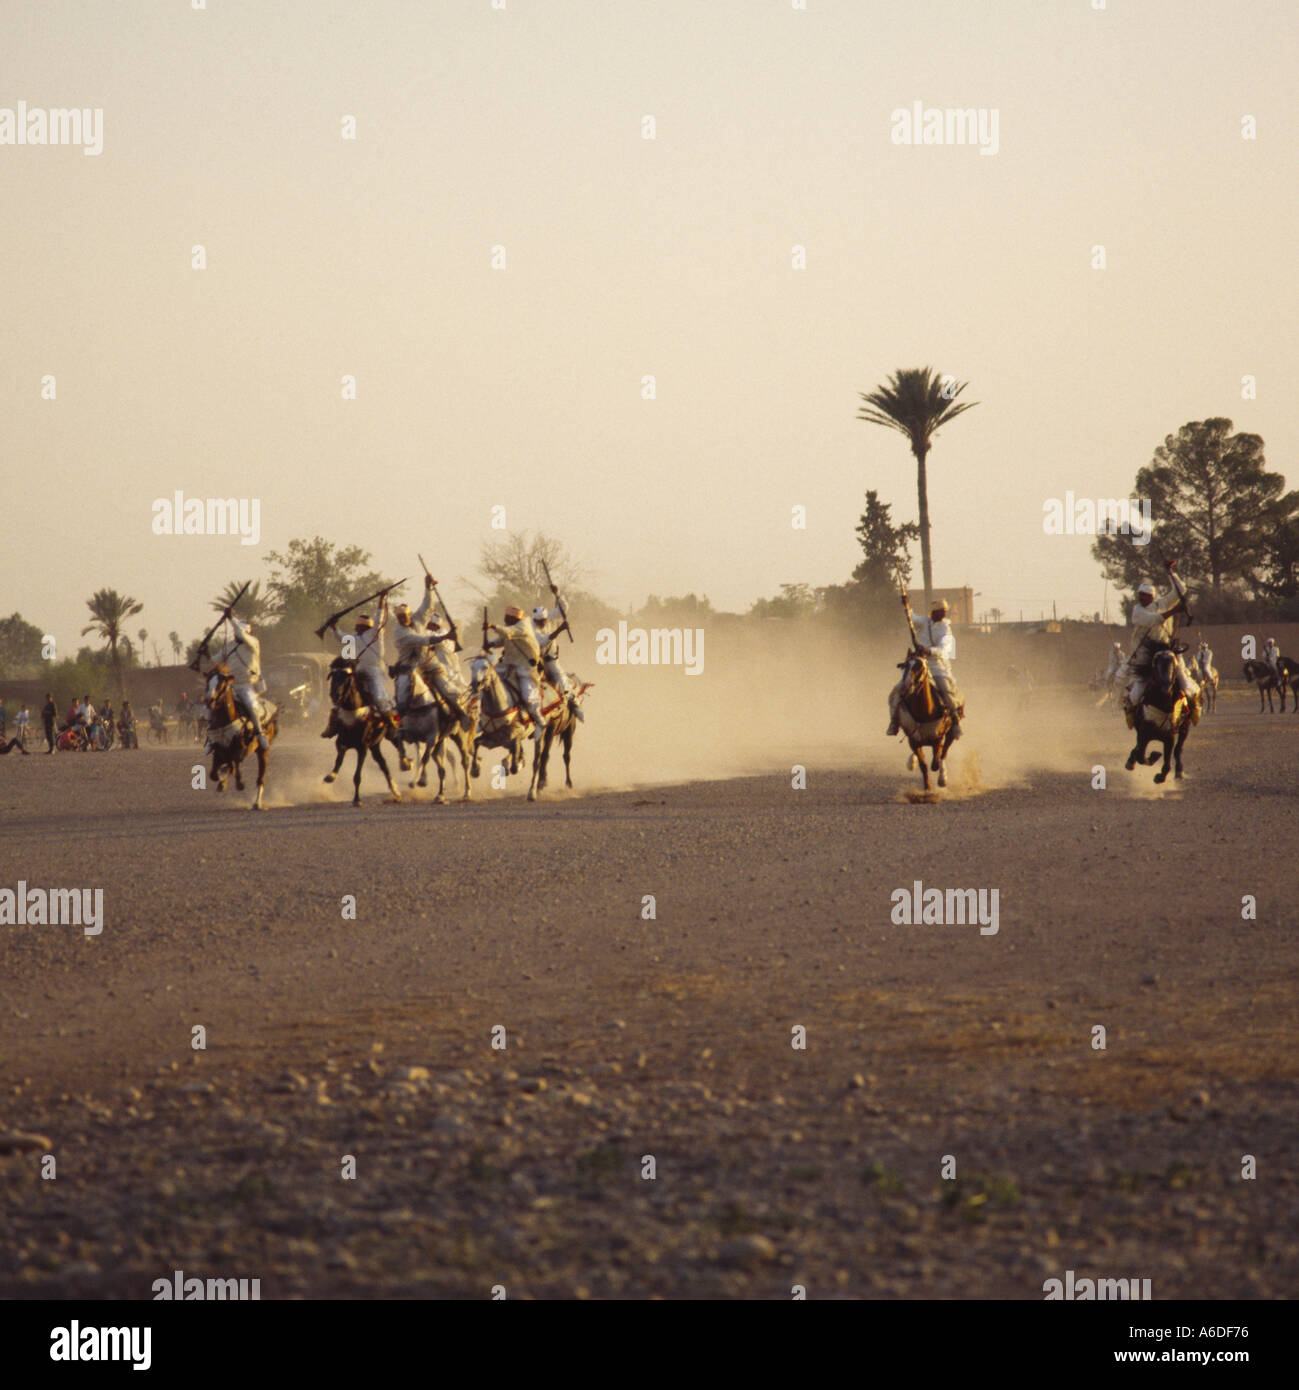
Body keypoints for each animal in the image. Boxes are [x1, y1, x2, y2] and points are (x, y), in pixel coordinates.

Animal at [202, 664, 276, 811]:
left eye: (221, 684)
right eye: (208, 682)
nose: (209, 701)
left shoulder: (239, 750)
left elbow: (234, 765)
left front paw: (239, 783)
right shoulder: (218, 750)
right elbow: (213, 774)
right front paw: (222, 782)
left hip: (263, 751)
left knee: (260, 778)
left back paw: (257, 803)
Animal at [323, 658, 400, 811]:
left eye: (346, 678)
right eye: (333, 676)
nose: (334, 695)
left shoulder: (362, 747)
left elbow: (357, 776)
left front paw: (357, 800)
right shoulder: (341, 742)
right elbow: (338, 760)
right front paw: (331, 776)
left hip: (389, 736)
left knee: (397, 746)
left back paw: (405, 765)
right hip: (375, 746)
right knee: (383, 763)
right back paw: (394, 789)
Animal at [469, 653, 541, 800]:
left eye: (485, 667)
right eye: (472, 667)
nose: (475, 685)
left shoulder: (516, 734)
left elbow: (516, 748)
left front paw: (515, 765)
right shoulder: (494, 739)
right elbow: (476, 742)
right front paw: (475, 769)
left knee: (536, 762)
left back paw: (532, 792)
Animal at [894, 650, 955, 795]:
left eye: (920, 667)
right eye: (905, 665)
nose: (905, 689)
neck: (925, 711)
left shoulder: (937, 739)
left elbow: (936, 761)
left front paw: (940, 776)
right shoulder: (913, 740)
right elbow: (924, 765)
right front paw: (927, 788)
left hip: (951, 731)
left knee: (944, 751)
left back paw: (942, 778)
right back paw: (912, 762)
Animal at [1122, 647, 1194, 783]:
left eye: (1174, 664)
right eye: (1156, 664)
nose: (1166, 686)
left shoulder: (1169, 737)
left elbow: (1168, 760)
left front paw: (1160, 776)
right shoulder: (1144, 733)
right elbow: (1140, 755)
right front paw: (1153, 756)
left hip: (1185, 728)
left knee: (1178, 749)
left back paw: (1179, 771)